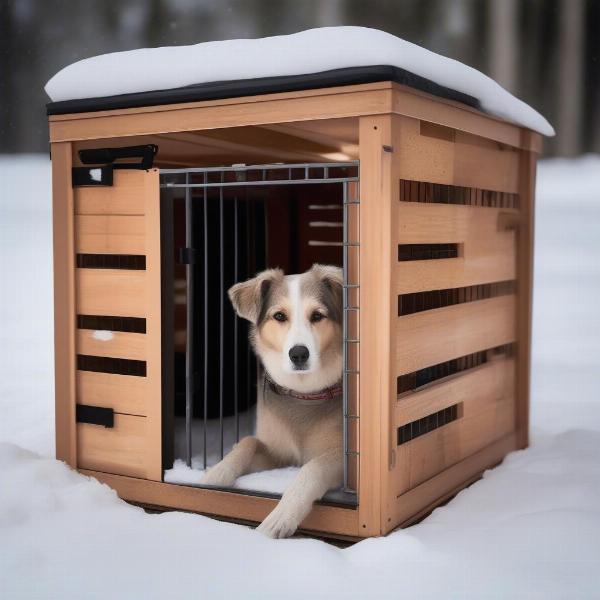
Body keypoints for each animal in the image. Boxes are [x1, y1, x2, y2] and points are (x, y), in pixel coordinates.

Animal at [200, 264, 342, 536]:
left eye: (317, 316)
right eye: (279, 316)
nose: (299, 354)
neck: (303, 394)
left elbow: (312, 467)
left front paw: (280, 518)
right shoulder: (276, 453)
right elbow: (246, 443)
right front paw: (214, 474)